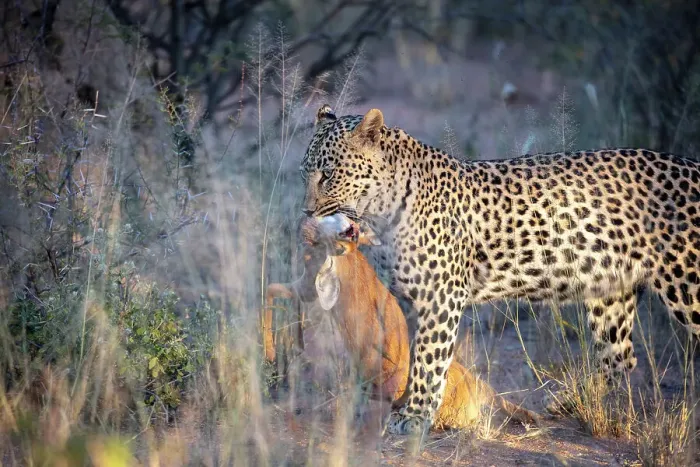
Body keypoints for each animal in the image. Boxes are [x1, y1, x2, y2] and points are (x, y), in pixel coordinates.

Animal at [299, 103, 700, 439]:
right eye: (304, 174)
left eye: (328, 175)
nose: (306, 212)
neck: (380, 211)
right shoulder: (412, 301)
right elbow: (416, 357)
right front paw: (406, 407)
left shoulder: (441, 296)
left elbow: (430, 360)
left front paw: (414, 418)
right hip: (610, 290)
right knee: (620, 357)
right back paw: (575, 405)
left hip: (687, 284)